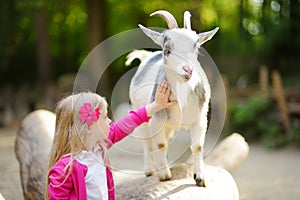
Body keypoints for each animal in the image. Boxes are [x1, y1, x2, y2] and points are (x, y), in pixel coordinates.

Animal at [126, 10, 218, 187]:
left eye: (196, 49)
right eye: (167, 50)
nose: (188, 70)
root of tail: (147, 56)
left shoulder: (200, 120)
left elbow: (197, 146)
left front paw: (200, 178)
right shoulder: (156, 120)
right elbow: (159, 144)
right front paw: (164, 175)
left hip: (170, 127)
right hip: (141, 115)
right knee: (147, 142)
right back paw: (149, 170)